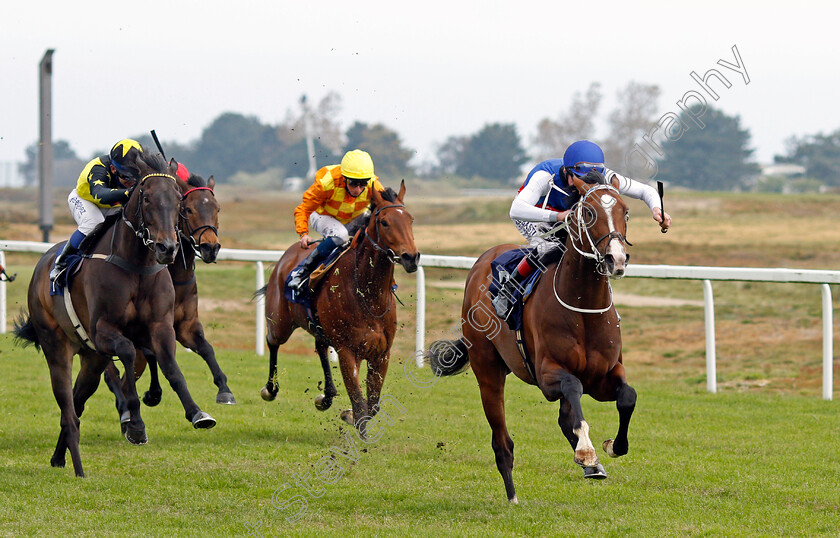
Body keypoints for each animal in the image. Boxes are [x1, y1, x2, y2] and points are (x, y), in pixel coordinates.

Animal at [14, 153, 215, 476]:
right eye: (146, 198)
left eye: (178, 201)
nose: (167, 248)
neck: (136, 264)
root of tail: (42, 264)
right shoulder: (103, 331)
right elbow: (129, 354)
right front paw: (135, 423)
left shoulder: (161, 326)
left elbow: (171, 367)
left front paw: (197, 412)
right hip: (57, 347)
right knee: (68, 403)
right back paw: (77, 464)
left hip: (90, 359)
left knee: (76, 402)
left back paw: (59, 457)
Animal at [102, 170, 233, 430]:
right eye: (188, 210)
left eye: (217, 208)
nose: (210, 247)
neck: (176, 274)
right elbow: (151, 356)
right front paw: (151, 394)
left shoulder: (185, 325)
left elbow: (206, 348)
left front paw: (224, 389)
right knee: (114, 372)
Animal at [260, 182, 420, 434]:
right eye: (385, 222)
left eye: (410, 219)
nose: (411, 257)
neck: (368, 295)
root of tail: (286, 257)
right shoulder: (347, 350)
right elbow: (359, 402)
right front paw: (358, 431)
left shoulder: (382, 352)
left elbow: (373, 404)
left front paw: (347, 414)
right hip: (281, 323)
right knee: (273, 341)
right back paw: (270, 389)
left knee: (321, 347)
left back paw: (326, 396)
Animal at [426, 178, 636, 500]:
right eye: (588, 213)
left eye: (625, 211)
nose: (617, 259)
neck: (583, 308)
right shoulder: (548, 374)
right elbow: (572, 387)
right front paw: (587, 451)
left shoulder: (604, 376)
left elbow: (627, 397)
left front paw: (611, 447)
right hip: (488, 372)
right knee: (502, 441)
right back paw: (513, 495)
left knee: (565, 417)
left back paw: (591, 465)